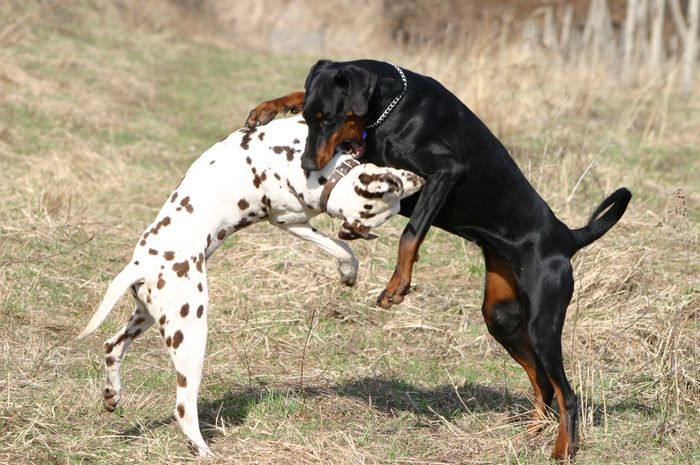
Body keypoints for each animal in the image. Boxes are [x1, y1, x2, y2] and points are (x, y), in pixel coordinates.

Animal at [79, 114, 424, 454]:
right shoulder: (290, 218)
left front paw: (348, 271)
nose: (419, 180)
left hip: (148, 317)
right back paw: (203, 450)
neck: (322, 178)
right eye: (394, 192)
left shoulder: (295, 223)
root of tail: (140, 265)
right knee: (183, 407)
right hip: (191, 338)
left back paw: (112, 393)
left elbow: (341, 248)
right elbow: (342, 246)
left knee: (112, 346)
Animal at [249, 57, 632, 456]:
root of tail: (565, 237)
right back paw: (533, 431)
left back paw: (562, 449)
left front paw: (398, 284)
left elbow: (411, 232)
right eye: (309, 118)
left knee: (567, 393)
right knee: (542, 379)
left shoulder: (444, 173)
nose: (308, 166)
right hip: (502, 315)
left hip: (543, 321)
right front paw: (272, 106)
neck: (390, 108)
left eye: (331, 118)